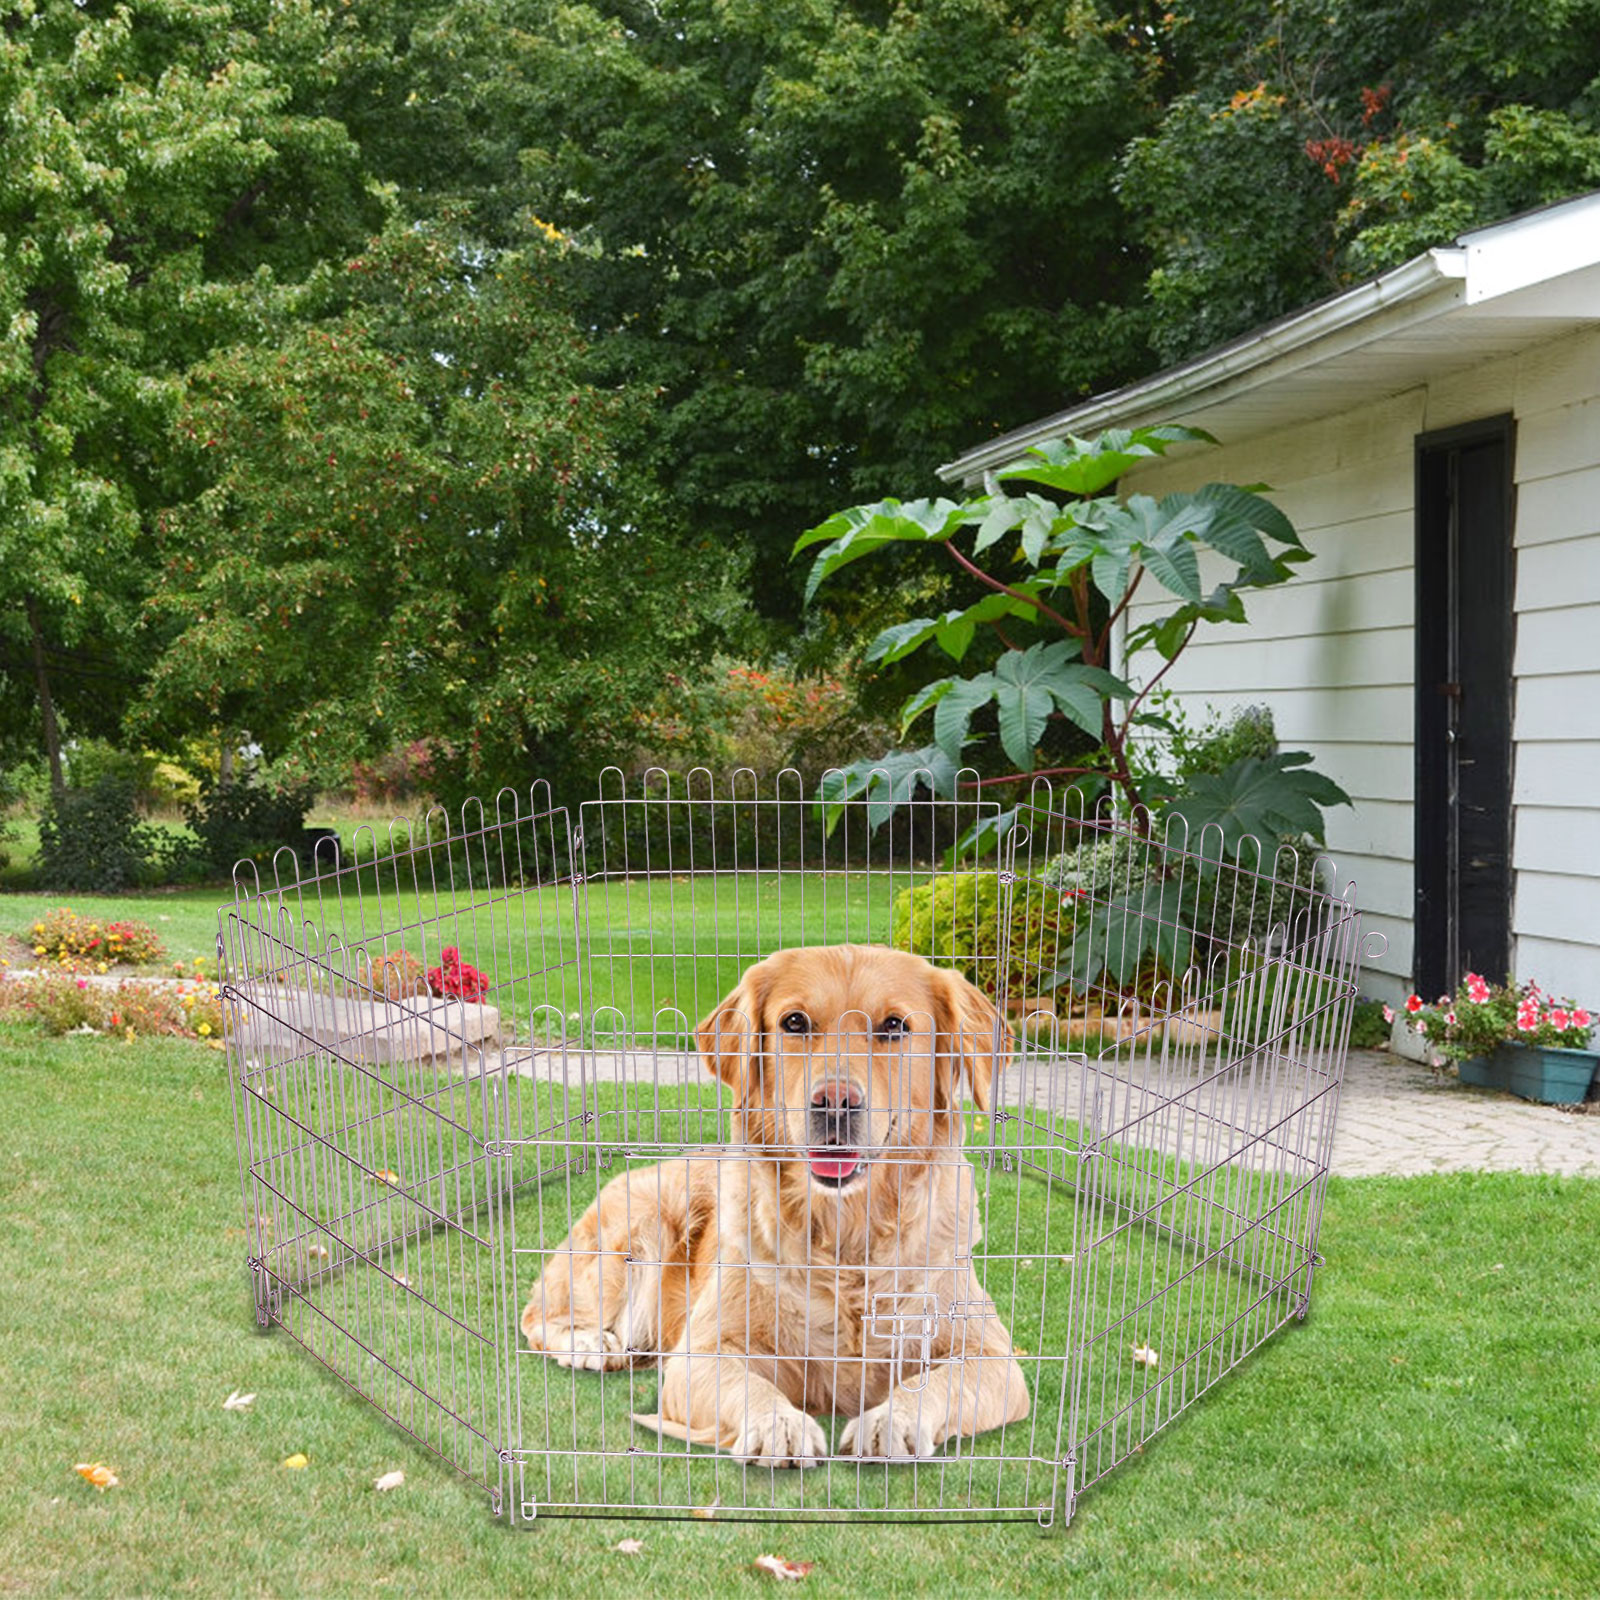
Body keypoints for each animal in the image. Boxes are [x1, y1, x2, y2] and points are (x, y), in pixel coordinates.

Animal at [518, 940, 1030, 1465]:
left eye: (894, 1026)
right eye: (795, 1023)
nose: (835, 1103)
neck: (845, 1240)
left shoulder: (995, 1357)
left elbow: (941, 1382)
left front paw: (894, 1421)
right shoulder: (700, 1353)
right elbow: (745, 1384)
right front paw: (778, 1424)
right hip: (639, 1225)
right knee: (538, 1316)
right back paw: (591, 1345)